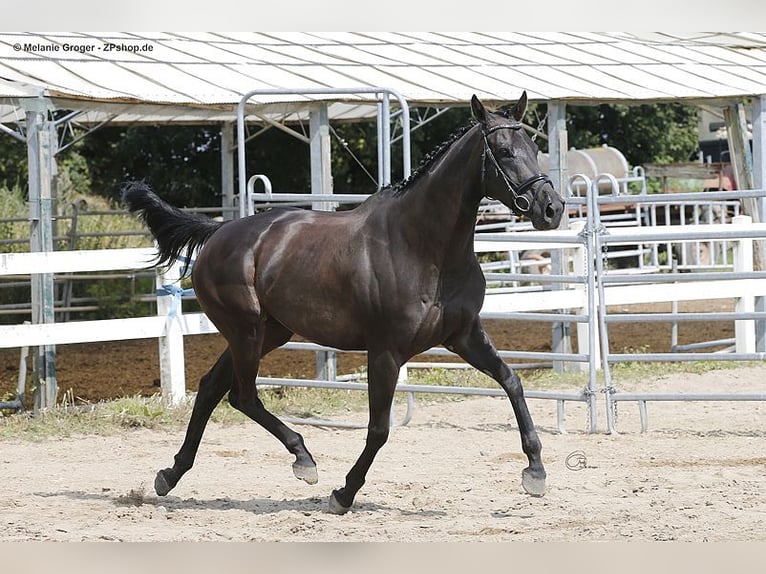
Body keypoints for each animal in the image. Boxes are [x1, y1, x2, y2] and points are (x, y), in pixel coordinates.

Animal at [124, 92, 564, 516]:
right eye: (504, 151)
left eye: (534, 147)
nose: (552, 208)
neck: (424, 247)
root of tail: (218, 232)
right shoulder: (386, 352)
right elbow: (379, 429)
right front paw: (344, 494)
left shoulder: (464, 335)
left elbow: (512, 382)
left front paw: (536, 473)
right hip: (245, 331)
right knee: (241, 395)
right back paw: (303, 459)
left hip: (269, 332)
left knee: (212, 387)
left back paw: (170, 475)